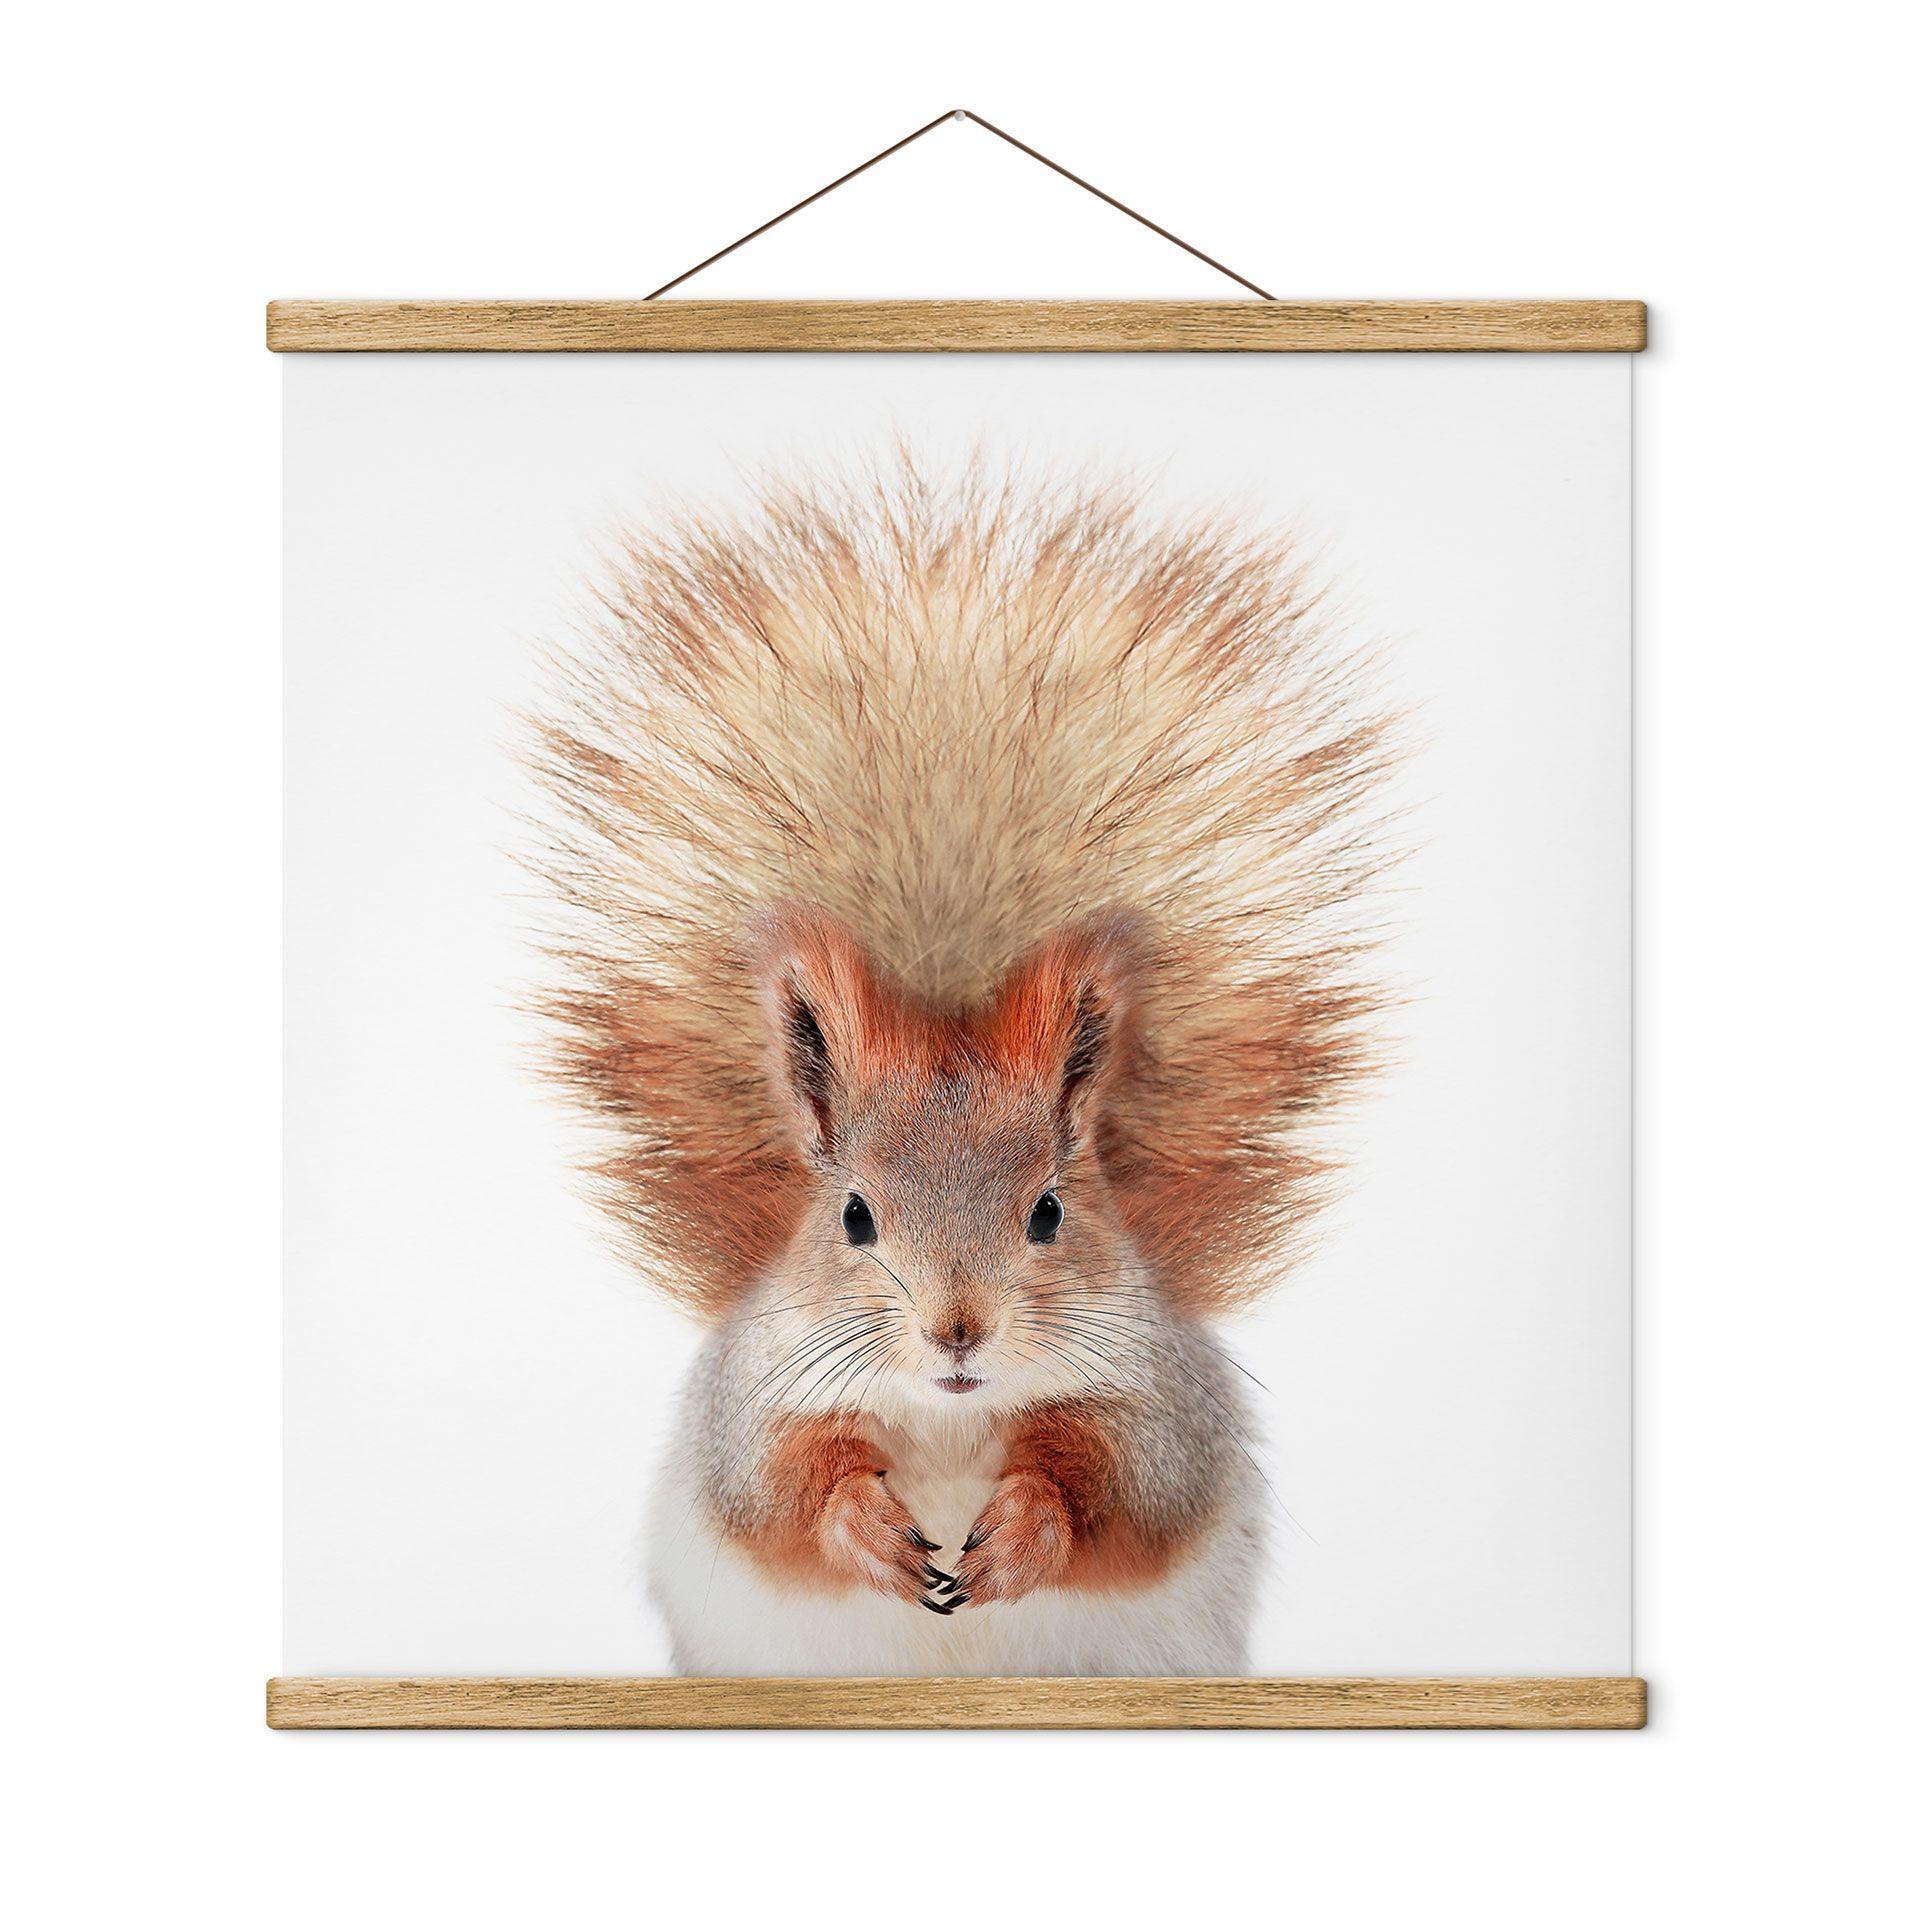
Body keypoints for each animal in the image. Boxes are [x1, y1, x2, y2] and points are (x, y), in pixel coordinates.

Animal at [525, 458, 1397, 1676]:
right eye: (851, 1216)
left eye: (1049, 1212)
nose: (957, 1330)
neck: (946, 1414)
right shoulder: (752, 1405)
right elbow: (778, 1494)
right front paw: (864, 1525)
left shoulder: (1161, 1409)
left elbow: (1125, 1493)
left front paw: (1026, 1530)